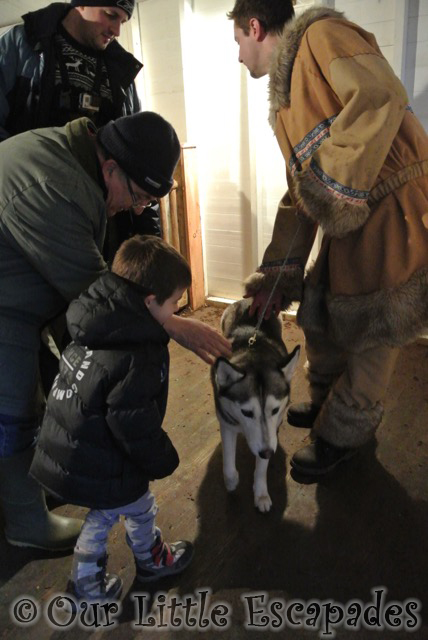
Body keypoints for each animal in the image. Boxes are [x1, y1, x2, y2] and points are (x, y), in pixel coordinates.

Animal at [210, 298, 298, 512]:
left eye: (274, 410)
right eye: (246, 412)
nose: (267, 452)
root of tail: (248, 300)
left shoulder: (270, 433)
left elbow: (261, 469)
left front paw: (261, 494)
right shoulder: (227, 423)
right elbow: (228, 465)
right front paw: (232, 482)